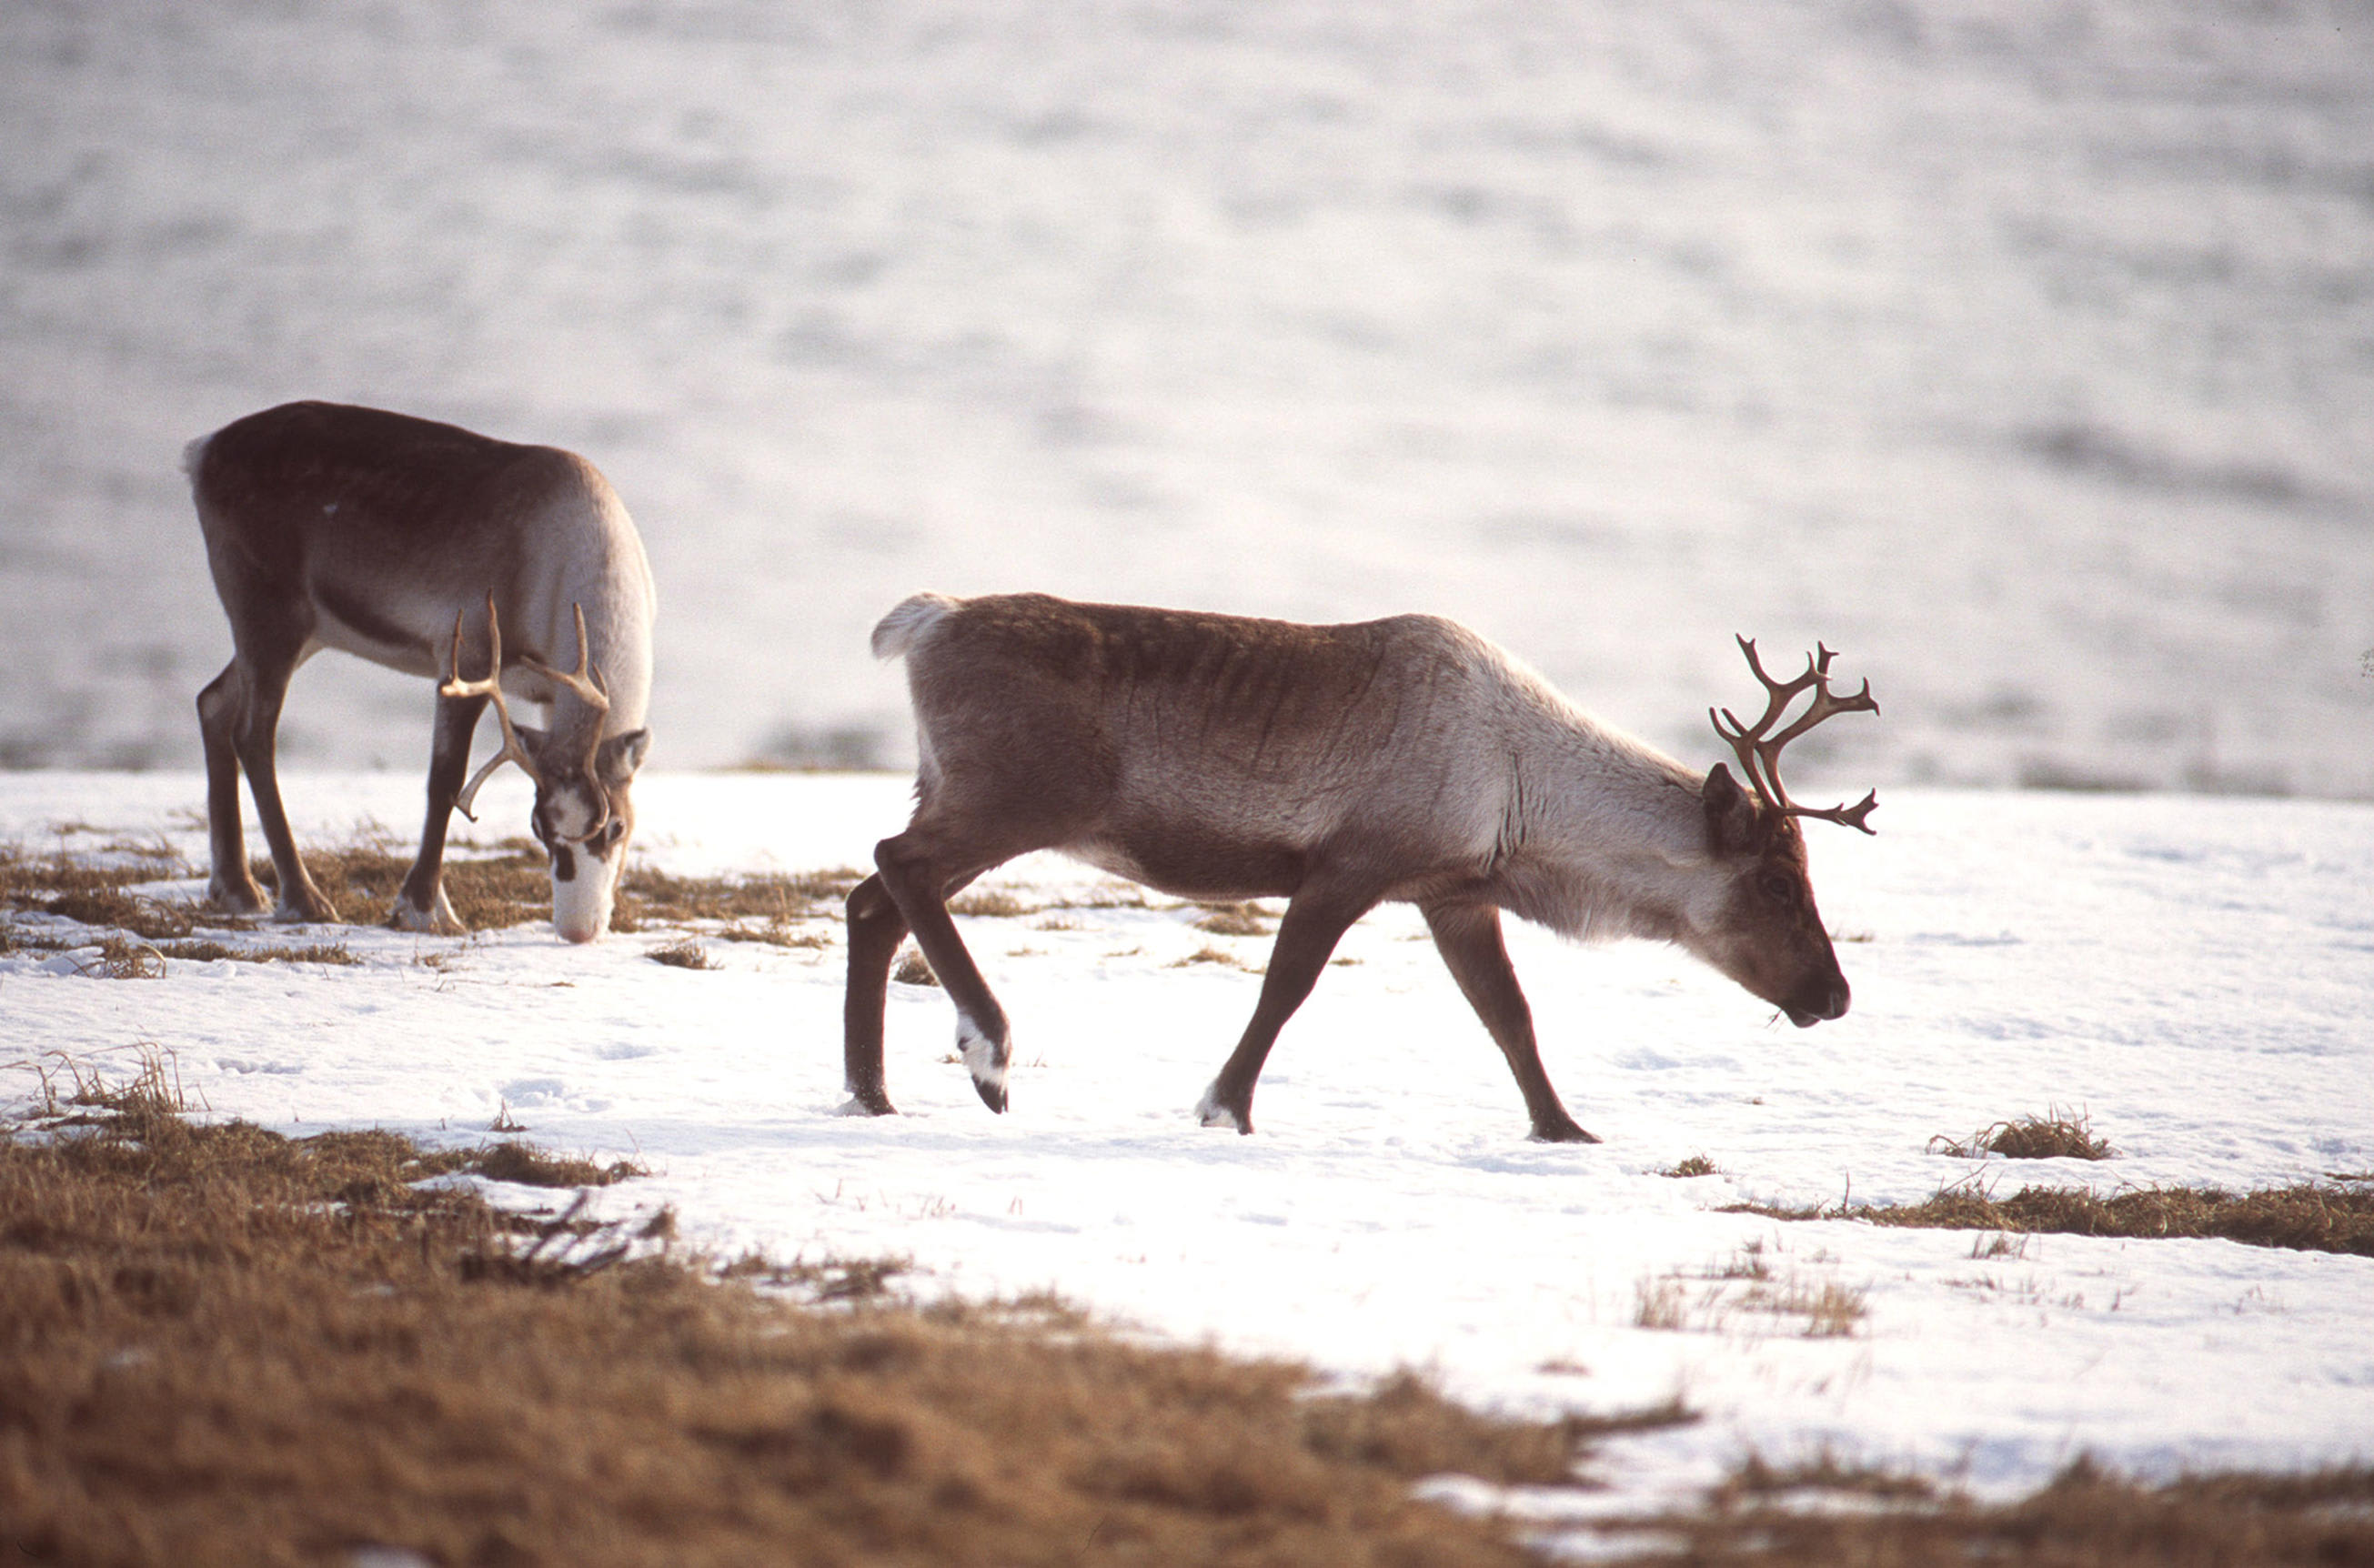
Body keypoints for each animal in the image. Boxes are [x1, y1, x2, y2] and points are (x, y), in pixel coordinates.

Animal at [185, 401, 656, 945]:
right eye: (540, 827)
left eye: (617, 826)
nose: (577, 930)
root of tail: (202, 451)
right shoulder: (467, 656)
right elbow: (445, 780)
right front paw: (424, 909)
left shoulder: (546, 699)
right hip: (269, 613)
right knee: (254, 734)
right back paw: (305, 899)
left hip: (304, 630)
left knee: (213, 701)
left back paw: (237, 888)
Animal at [844, 592, 1877, 1140]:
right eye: (1778, 880)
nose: (1835, 995)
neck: (1521, 787)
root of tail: (923, 622)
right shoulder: (1351, 866)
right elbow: (1286, 989)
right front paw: (1227, 1107)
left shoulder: (1452, 896)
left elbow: (1509, 1016)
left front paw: (1564, 1129)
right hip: (1016, 798)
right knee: (894, 865)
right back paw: (988, 1053)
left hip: (963, 795)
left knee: (872, 898)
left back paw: (873, 1093)